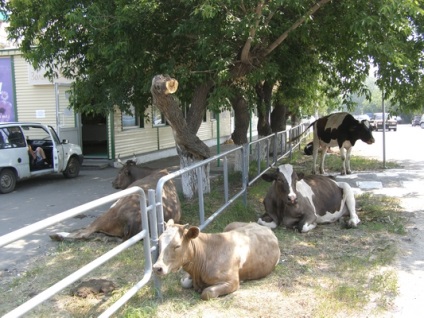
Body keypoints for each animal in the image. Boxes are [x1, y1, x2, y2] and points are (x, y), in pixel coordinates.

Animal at [152, 220, 282, 300]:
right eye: (159, 242)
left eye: (177, 246)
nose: (157, 267)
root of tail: (262, 227)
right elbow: (184, 282)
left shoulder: (232, 281)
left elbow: (207, 293)